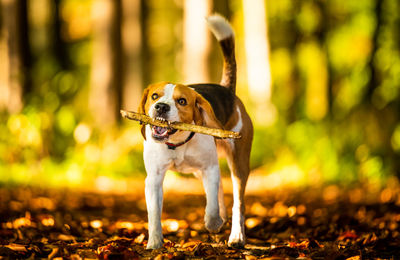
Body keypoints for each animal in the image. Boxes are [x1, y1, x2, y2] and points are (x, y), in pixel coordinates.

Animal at [138, 14, 253, 250]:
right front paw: (154, 242)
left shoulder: (209, 168)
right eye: (154, 96)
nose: (161, 107)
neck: (177, 143)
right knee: (219, 192)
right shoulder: (153, 178)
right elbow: (154, 214)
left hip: (238, 163)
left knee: (237, 202)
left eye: (182, 101)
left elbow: (211, 205)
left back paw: (236, 235)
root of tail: (227, 89)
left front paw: (212, 221)